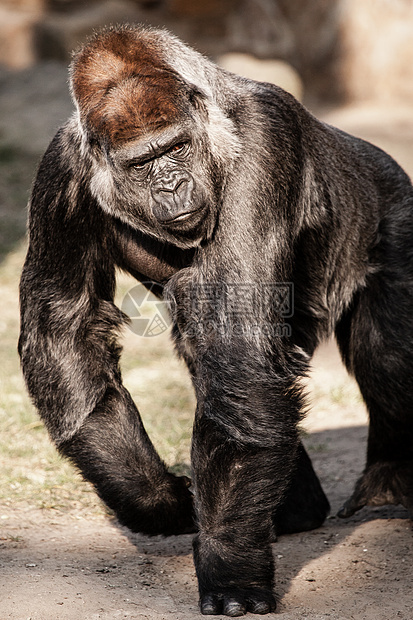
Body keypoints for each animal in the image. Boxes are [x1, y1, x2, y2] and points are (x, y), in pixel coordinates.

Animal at [18, 23, 412, 616]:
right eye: (142, 163)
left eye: (177, 148)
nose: (171, 186)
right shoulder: (60, 170)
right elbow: (64, 324)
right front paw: (154, 497)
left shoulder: (262, 144)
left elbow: (240, 346)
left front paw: (230, 562)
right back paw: (297, 507)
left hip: (396, 209)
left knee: (385, 358)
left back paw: (388, 484)